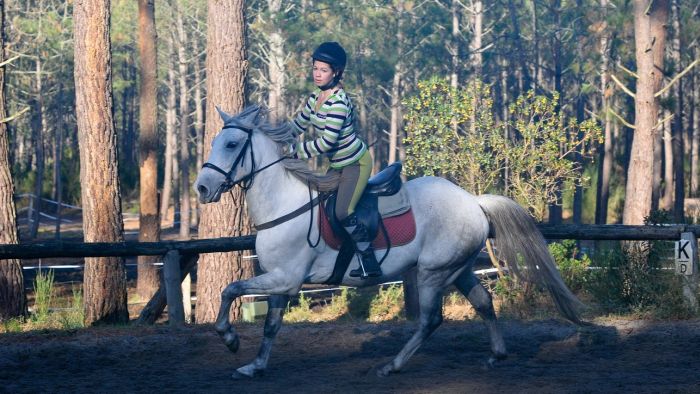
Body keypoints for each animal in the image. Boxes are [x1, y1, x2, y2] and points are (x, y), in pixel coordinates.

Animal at [194, 104, 584, 378]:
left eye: (232, 144)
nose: (201, 189)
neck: (285, 205)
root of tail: (473, 202)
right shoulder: (280, 281)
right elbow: (270, 326)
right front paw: (254, 366)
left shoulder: (286, 278)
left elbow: (230, 290)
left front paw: (229, 338)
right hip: (458, 269)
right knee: (484, 302)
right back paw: (497, 354)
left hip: (432, 273)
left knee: (430, 321)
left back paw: (392, 365)